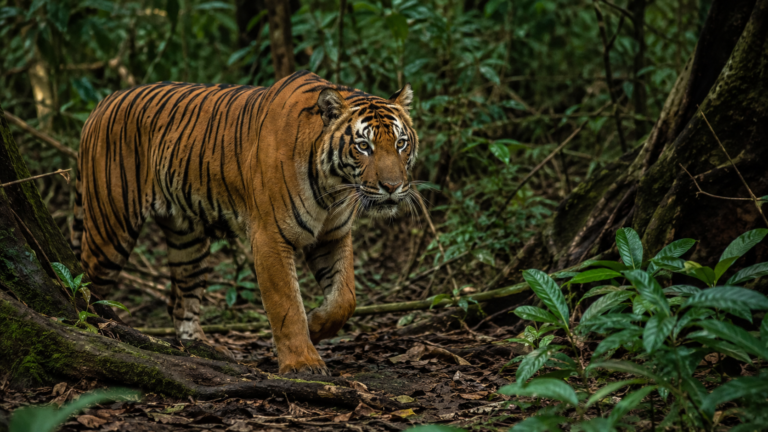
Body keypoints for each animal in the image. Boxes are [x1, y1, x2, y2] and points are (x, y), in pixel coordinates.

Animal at [71, 70, 419, 375]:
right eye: (363, 146)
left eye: (401, 143)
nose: (392, 187)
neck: (334, 187)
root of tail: (102, 103)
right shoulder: (270, 237)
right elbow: (286, 304)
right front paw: (303, 363)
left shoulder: (333, 235)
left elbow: (345, 297)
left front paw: (317, 325)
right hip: (111, 226)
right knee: (85, 278)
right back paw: (94, 326)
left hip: (187, 239)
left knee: (181, 299)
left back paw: (202, 348)